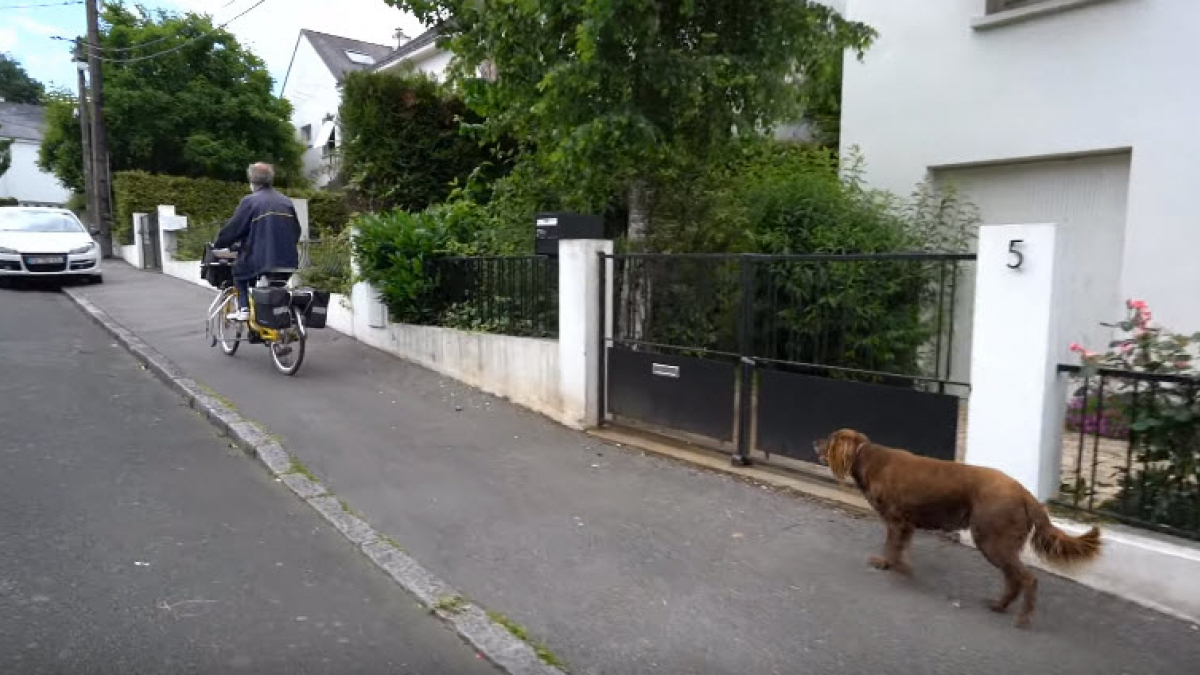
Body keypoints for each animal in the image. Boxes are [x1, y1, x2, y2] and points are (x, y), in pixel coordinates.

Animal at [820, 427, 1099, 624]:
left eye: (829, 438)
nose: (814, 442)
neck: (867, 457)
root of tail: (1025, 493)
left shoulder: (896, 520)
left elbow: (893, 548)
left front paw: (900, 569)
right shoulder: (905, 524)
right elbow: (895, 548)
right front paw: (888, 564)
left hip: (992, 540)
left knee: (1027, 579)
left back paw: (1022, 617)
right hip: (998, 543)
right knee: (1014, 580)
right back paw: (999, 606)